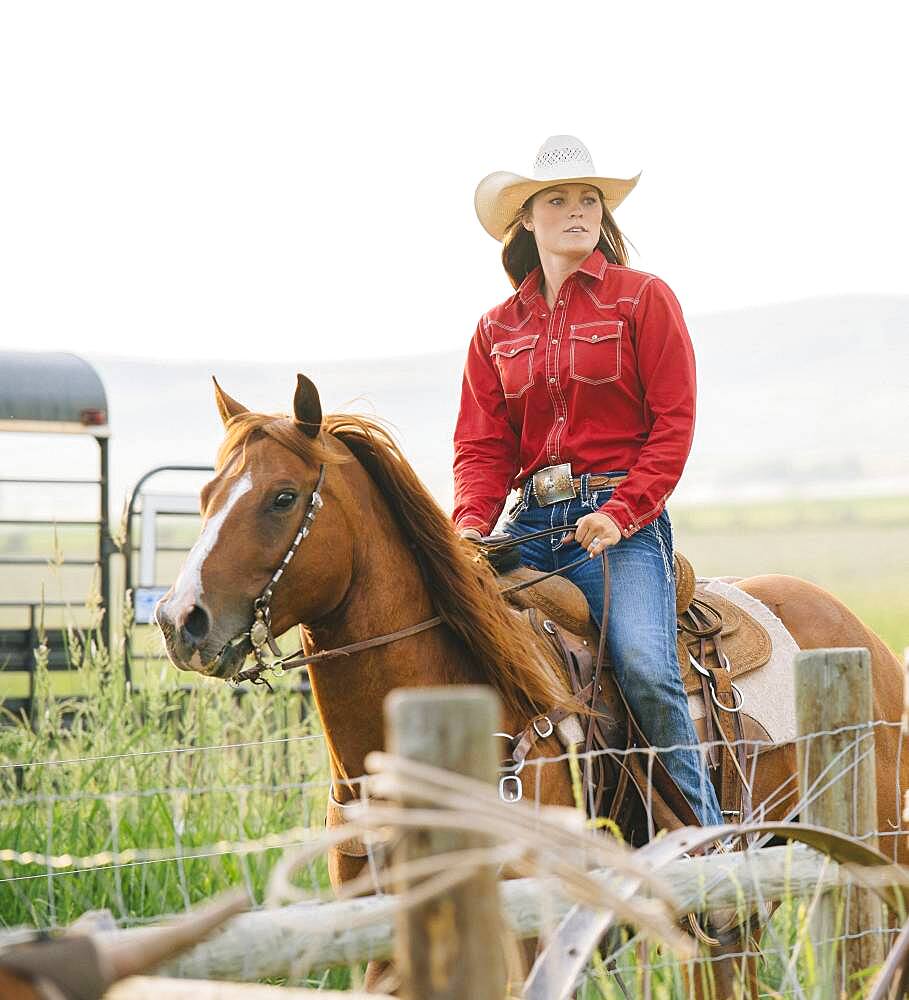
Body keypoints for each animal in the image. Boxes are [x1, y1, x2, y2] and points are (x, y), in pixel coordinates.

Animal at [158, 376, 908, 1000]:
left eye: (283, 497)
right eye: (204, 497)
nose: (179, 619)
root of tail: (863, 641)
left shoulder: (524, 929)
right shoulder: (382, 937)